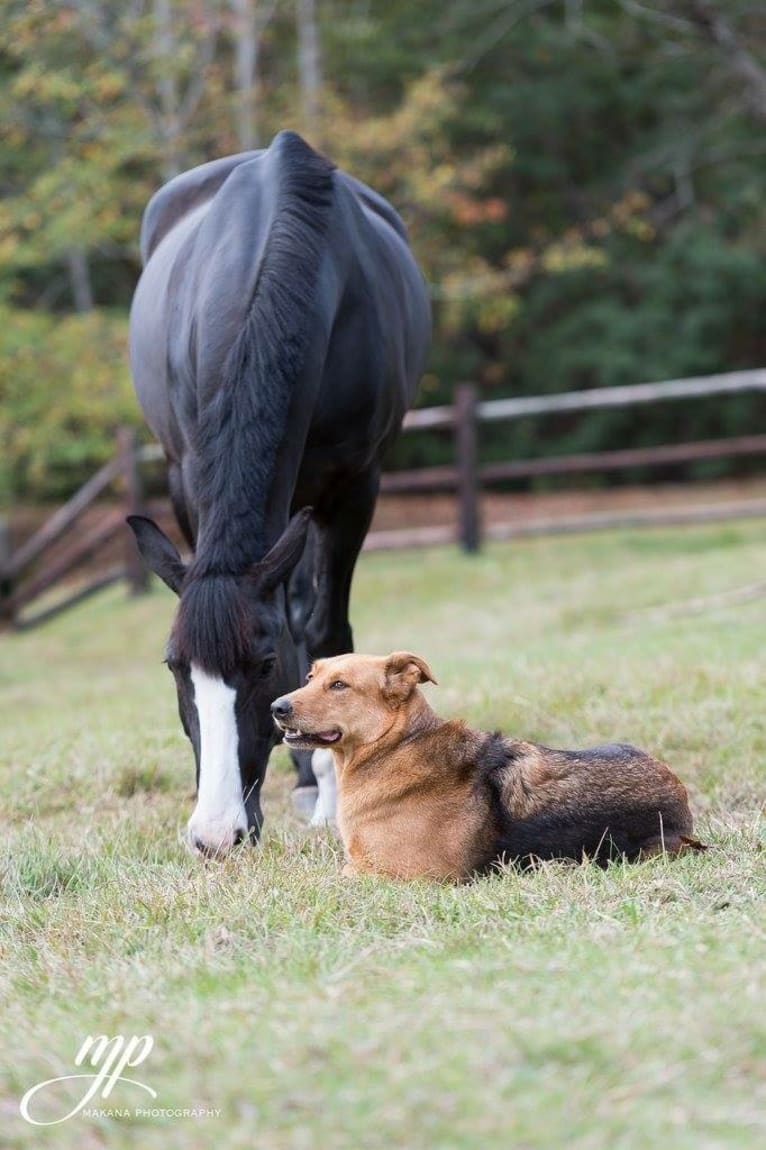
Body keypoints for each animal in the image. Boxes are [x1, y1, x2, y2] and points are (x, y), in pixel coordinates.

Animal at [128, 132, 432, 855]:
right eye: (175, 668)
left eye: (262, 665)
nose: (216, 835)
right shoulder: (188, 479)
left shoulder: (354, 486)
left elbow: (323, 631)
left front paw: (330, 785)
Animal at [270, 648, 703, 878]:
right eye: (310, 677)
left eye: (339, 685)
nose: (276, 707)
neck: (394, 746)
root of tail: (678, 793)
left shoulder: (392, 874)